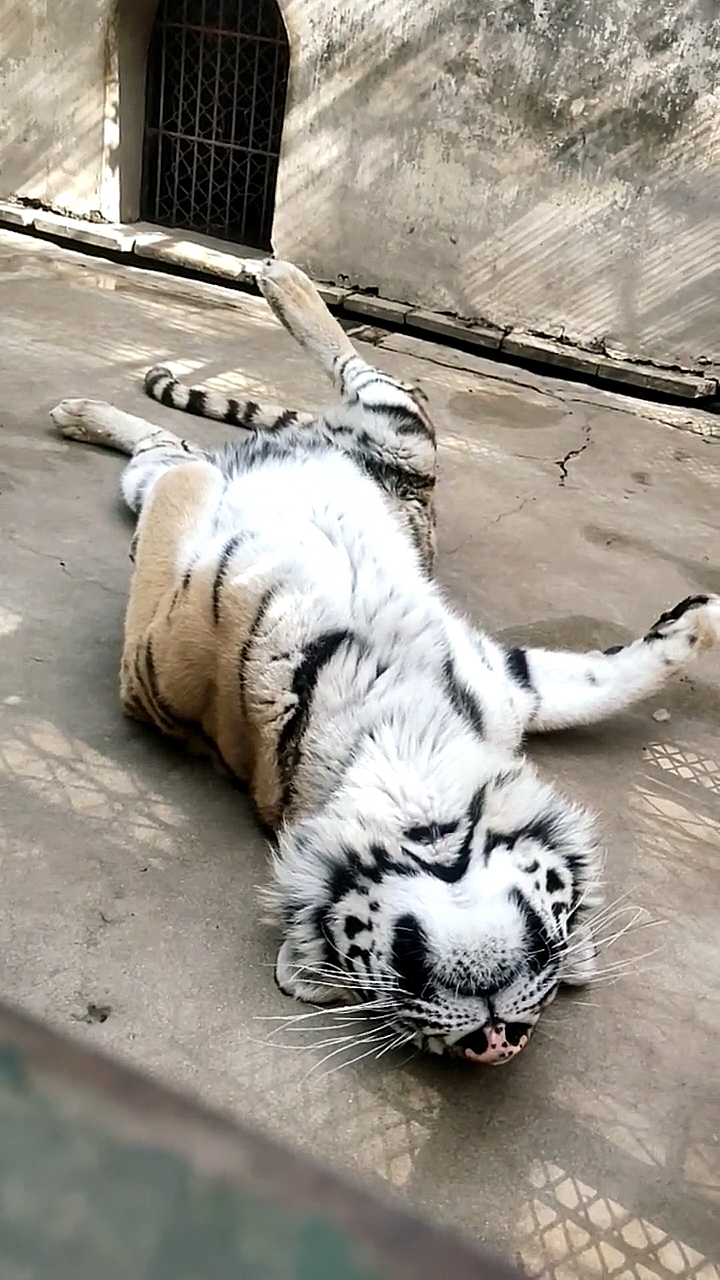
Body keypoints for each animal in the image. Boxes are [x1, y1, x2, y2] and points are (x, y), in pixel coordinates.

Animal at [49, 259, 720, 1066]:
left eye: (554, 975)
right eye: (396, 993)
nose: (496, 1041)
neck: (398, 730)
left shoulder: (507, 684)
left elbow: (602, 683)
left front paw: (700, 617)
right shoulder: (156, 652)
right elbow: (173, 541)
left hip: (397, 436)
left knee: (215, 430)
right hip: (392, 433)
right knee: (219, 432)